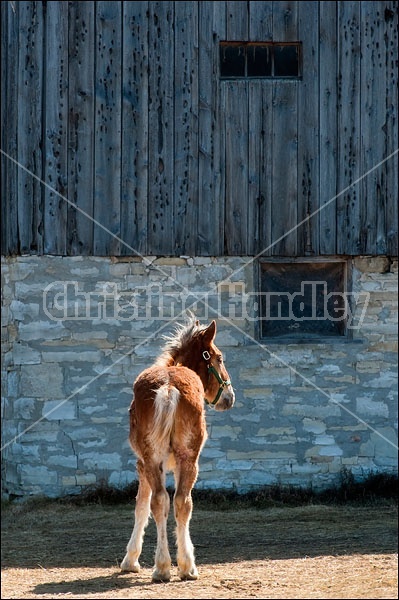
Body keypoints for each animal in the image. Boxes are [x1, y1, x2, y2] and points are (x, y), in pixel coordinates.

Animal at [121, 314, 234, 580]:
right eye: (219, 357)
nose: (229, 397)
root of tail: (168, 388)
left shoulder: (145, 463)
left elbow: (144, 504)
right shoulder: (142, 464)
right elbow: (142, 505)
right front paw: (131, 559)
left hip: (156, 459)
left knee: (164, 500)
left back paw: (164, 567)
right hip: (186, 459)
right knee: (179, 502)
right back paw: (184, 566)